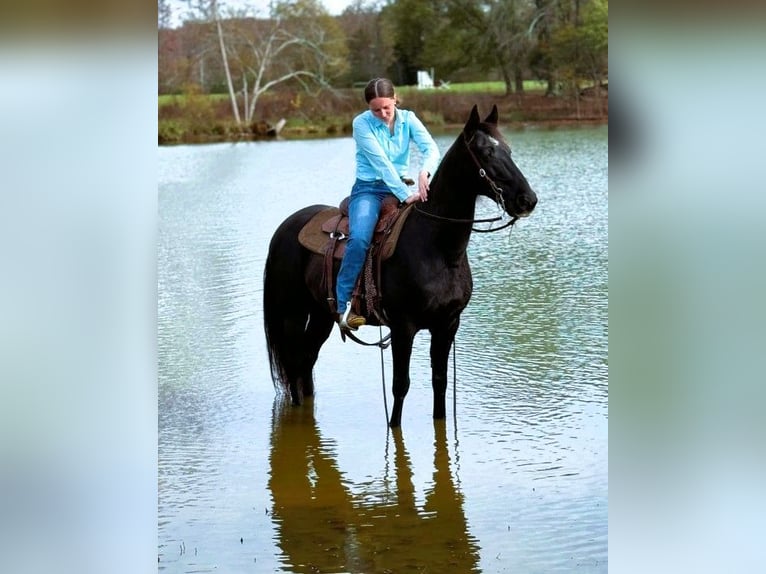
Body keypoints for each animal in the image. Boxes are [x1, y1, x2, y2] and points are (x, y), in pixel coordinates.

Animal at [266, 104, 540, 428]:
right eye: (486, 152)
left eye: (508, 150)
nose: (527, 200)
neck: (438, 248)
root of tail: (285, 227)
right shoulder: (403, 328)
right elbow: (400, 386)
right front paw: (393, 425)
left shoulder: (447, 324)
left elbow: (439, 381)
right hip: (292, 314)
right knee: (294, 362)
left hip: (321, 313)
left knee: (306, 360)